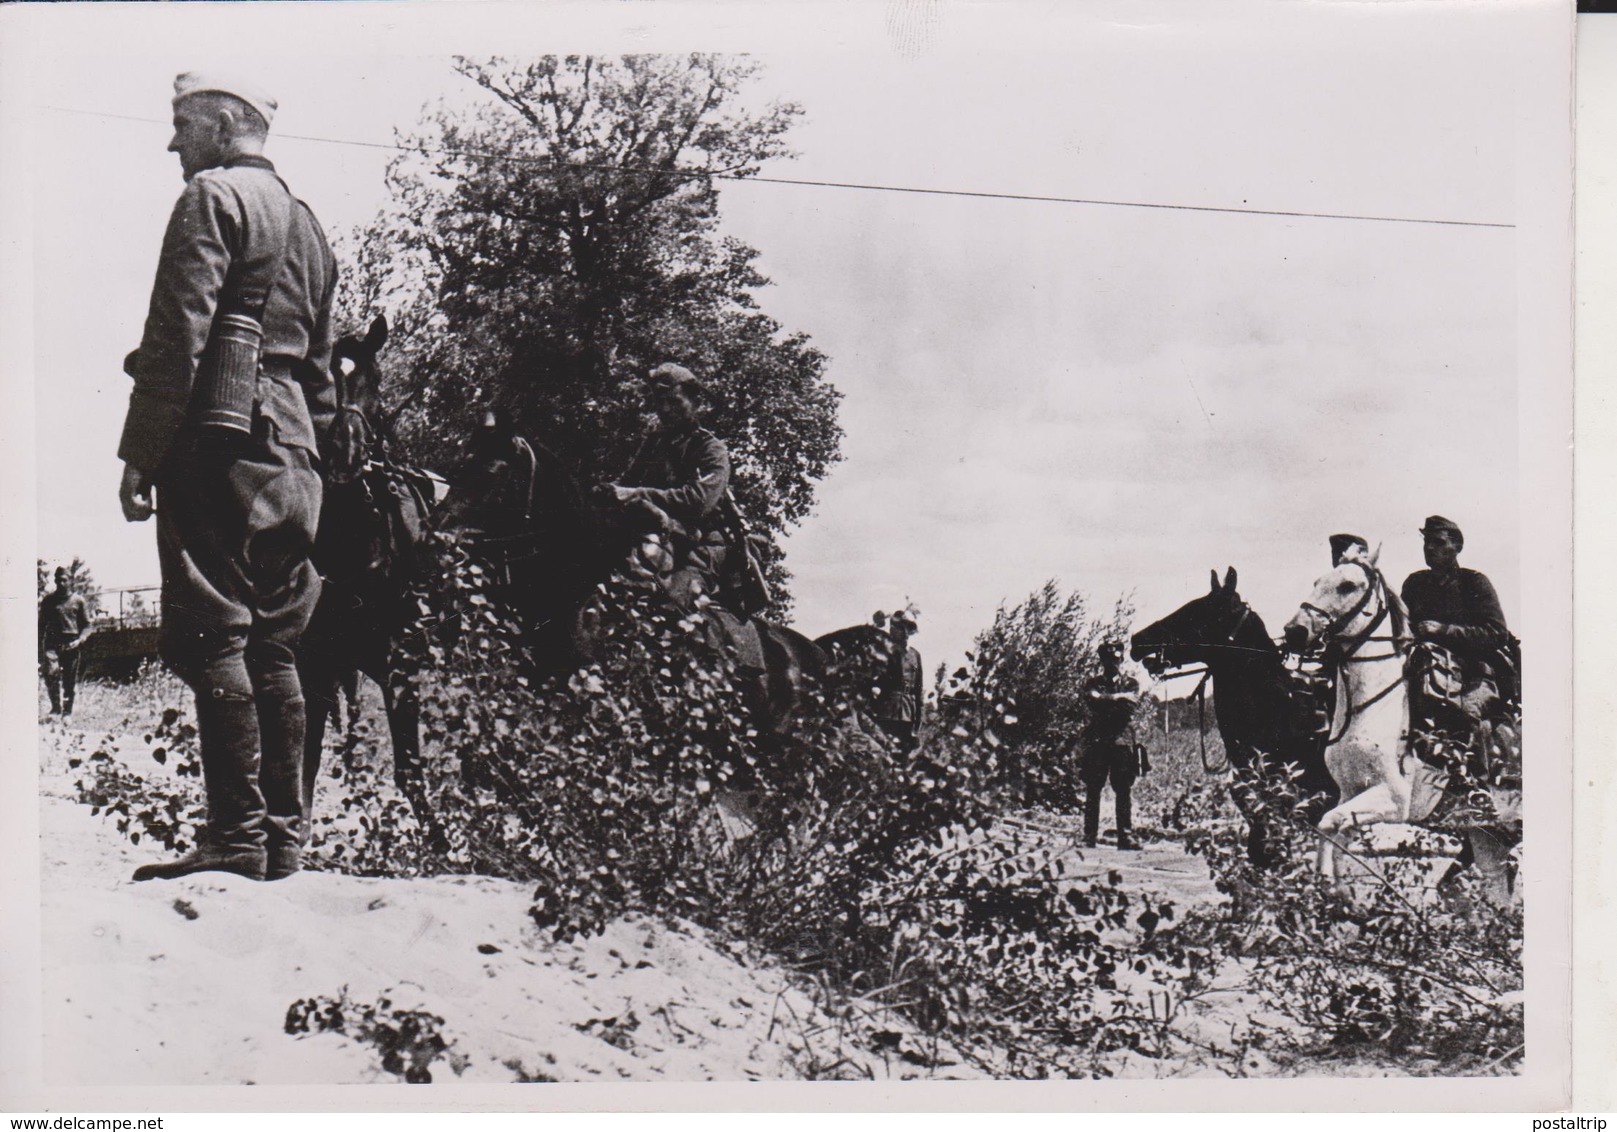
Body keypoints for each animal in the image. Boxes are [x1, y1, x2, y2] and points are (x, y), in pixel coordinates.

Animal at [295, 318, 449, 847]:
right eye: (323, 382)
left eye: (375, 380)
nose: (344, 454)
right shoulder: (320, 660)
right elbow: (310, 748)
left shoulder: (399, 663)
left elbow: (410, 767)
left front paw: (439, 840)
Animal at [1274, 546, 1513, 899]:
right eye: (1318, 581)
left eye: (1348, 585)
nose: (1296, 631)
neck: (1368, 709)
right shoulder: (1350, 792)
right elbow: (1334, 831)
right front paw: (1331, 887)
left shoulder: (1393, 799)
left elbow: (1330, 823)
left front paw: (1330, 885)